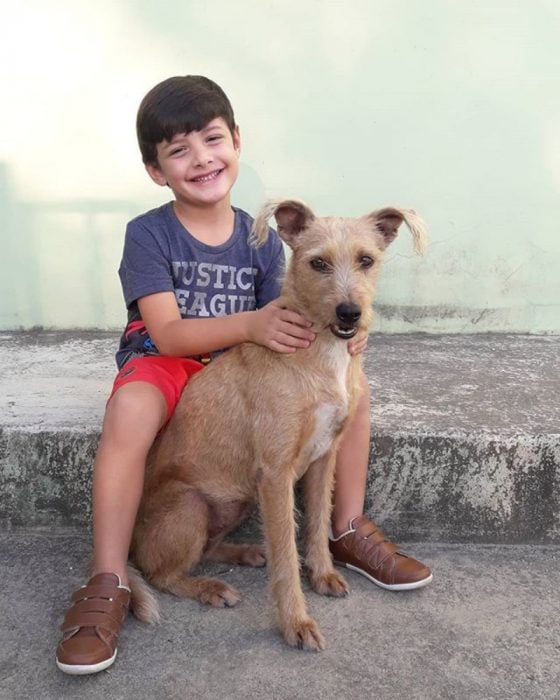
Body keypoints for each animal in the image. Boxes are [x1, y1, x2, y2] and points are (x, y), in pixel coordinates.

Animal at [128, 198, 424, 652]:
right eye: (317, 263)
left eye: (367, 260)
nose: (350, 313)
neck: (320, 351)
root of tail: (129, 545)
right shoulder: (275, 472)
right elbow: (286, 551)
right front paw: (296, 622)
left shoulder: (322, 459)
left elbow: (317, 523)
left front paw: (322, 573)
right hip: (191, 506)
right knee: (162, 573)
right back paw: (208, 588)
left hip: (237, 500)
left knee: (206, 549)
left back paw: (243, 553)